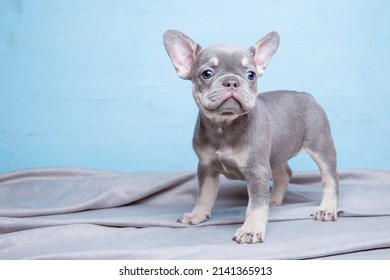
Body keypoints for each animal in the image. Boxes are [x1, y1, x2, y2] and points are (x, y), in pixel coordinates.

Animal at [162, 30, 338, 243]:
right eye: (206, 74)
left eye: (251, 75)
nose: (232, 81)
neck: (224, 125)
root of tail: (308, 95)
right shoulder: (206, 168)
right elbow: (204, 194)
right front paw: (197, 214)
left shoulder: (257, 171)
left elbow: (256, 205)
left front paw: (251, 230)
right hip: (275, 154)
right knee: (284, 174)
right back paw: (274, 200)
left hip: (321, 147)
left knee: (330, 179)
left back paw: (327, 208)